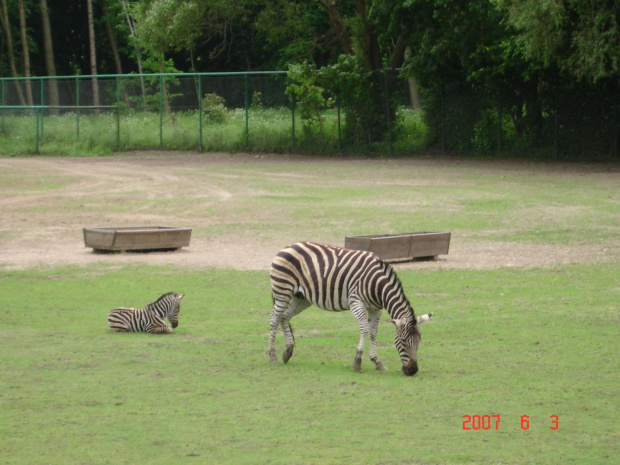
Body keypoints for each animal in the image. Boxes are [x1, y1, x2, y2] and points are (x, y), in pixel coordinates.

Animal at [268, 241, 434, 376]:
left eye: (419, 340)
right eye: (404, 341)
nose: (413, 371)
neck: (378, 286)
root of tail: (287, 246)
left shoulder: (376, 308)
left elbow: (373, 333)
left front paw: (377, 362)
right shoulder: (356, 302)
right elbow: (365, 329)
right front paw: (357, 361)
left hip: (301, 297)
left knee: (284, 317)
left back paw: (288, 351)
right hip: (283, 291)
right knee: (274, 319)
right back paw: (272, 356)